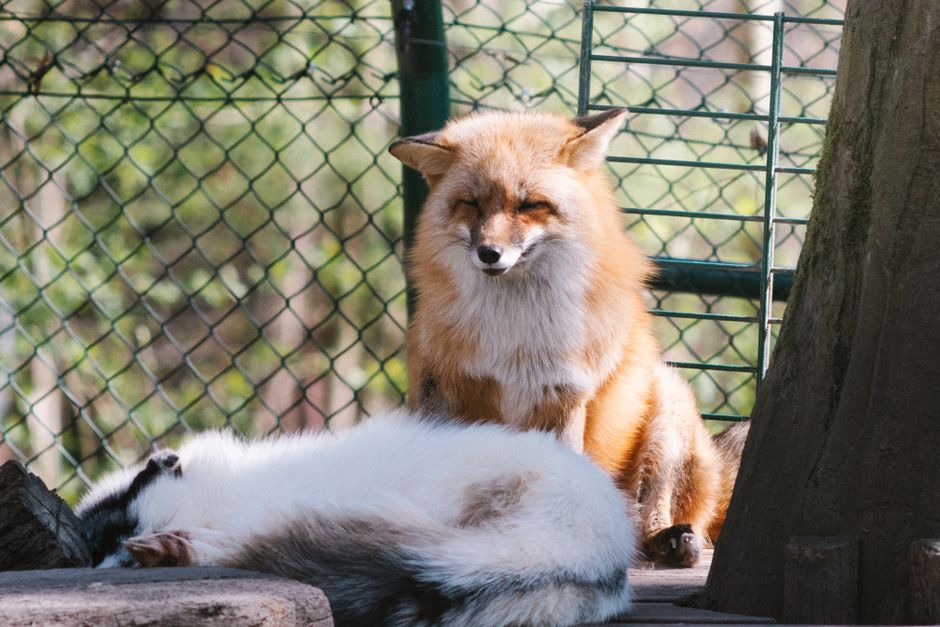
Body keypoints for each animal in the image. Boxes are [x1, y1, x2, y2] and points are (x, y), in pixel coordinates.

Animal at [390, 108, 741, 567]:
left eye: (530, 205)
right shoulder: (445, 384)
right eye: (471, 203)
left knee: (655, 518)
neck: (515, 336)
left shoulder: (561, 393)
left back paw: (670, 542)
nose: (489, 253)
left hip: (669, 404)